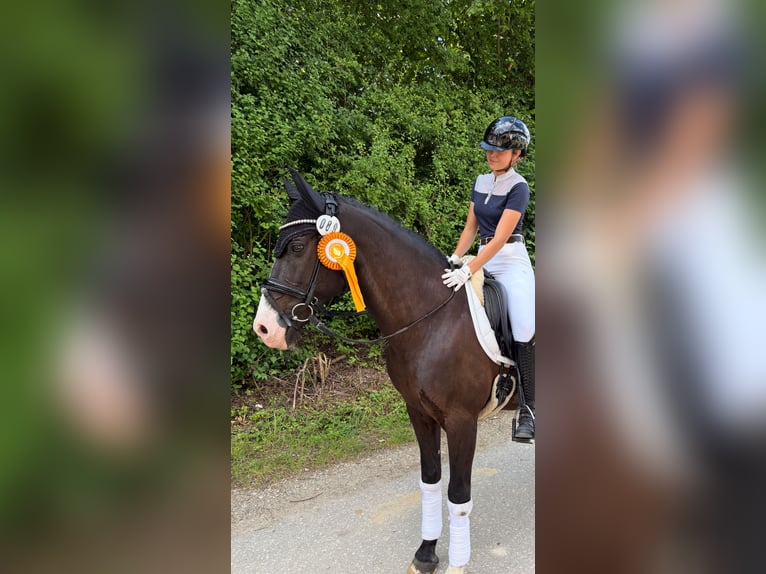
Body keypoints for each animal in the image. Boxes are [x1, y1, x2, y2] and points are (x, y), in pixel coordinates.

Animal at [254, 168, 519, 574]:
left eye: (297, 247)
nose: (264, 328)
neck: (432, 319)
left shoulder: (462, 419)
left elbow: (459, 494)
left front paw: (457, 563)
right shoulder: (419, 413)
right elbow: (430, 480)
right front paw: (425, 554)